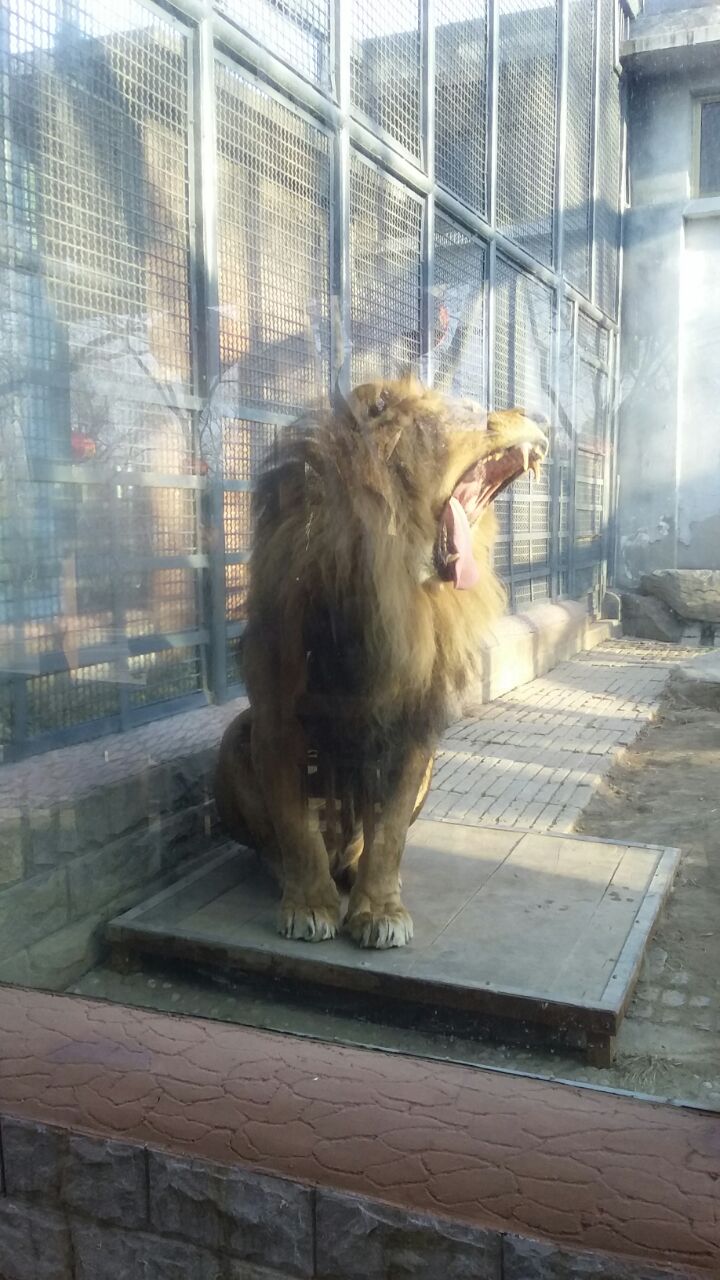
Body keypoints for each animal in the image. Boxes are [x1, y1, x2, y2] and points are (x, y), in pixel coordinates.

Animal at [212, 373, 543, 947]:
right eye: (470, 413)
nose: (534, 415)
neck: (387, 587)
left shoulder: (411, 725)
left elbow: (387, 831)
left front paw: (380, 910)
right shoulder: (277, 718)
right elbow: (297, 826)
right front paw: (309, 905)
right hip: (234, 740)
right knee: (278, 842)